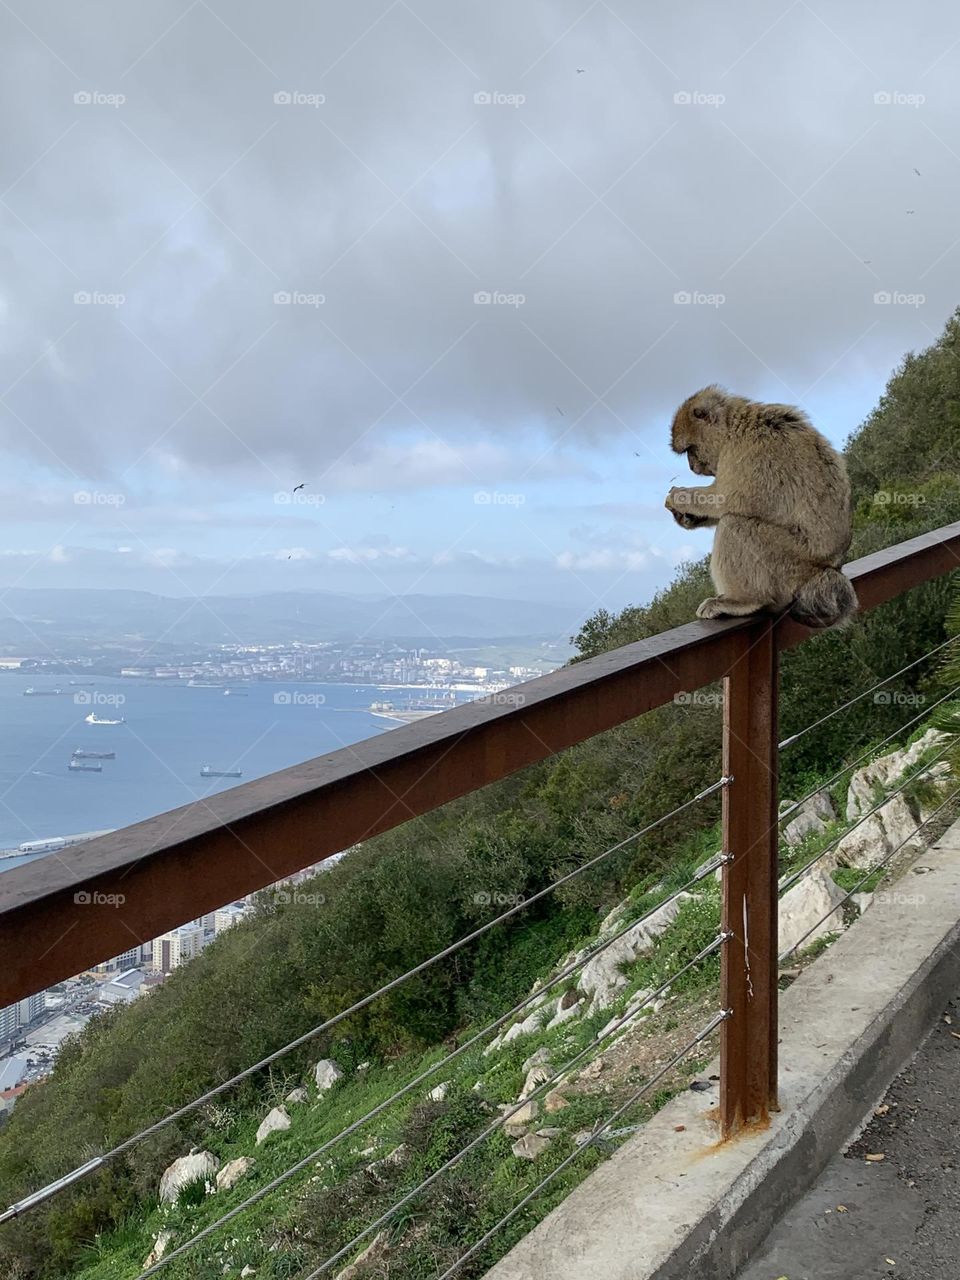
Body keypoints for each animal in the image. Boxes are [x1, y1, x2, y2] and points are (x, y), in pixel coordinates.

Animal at [665, 389, 860, 629]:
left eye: (690, 450)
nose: (692, 466)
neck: (734, 425)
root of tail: (828, 569)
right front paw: (685, 517)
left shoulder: (746, 452)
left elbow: (724, 500)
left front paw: (679, 496)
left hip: (788, 563)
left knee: (735, 524)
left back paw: (743, 601)